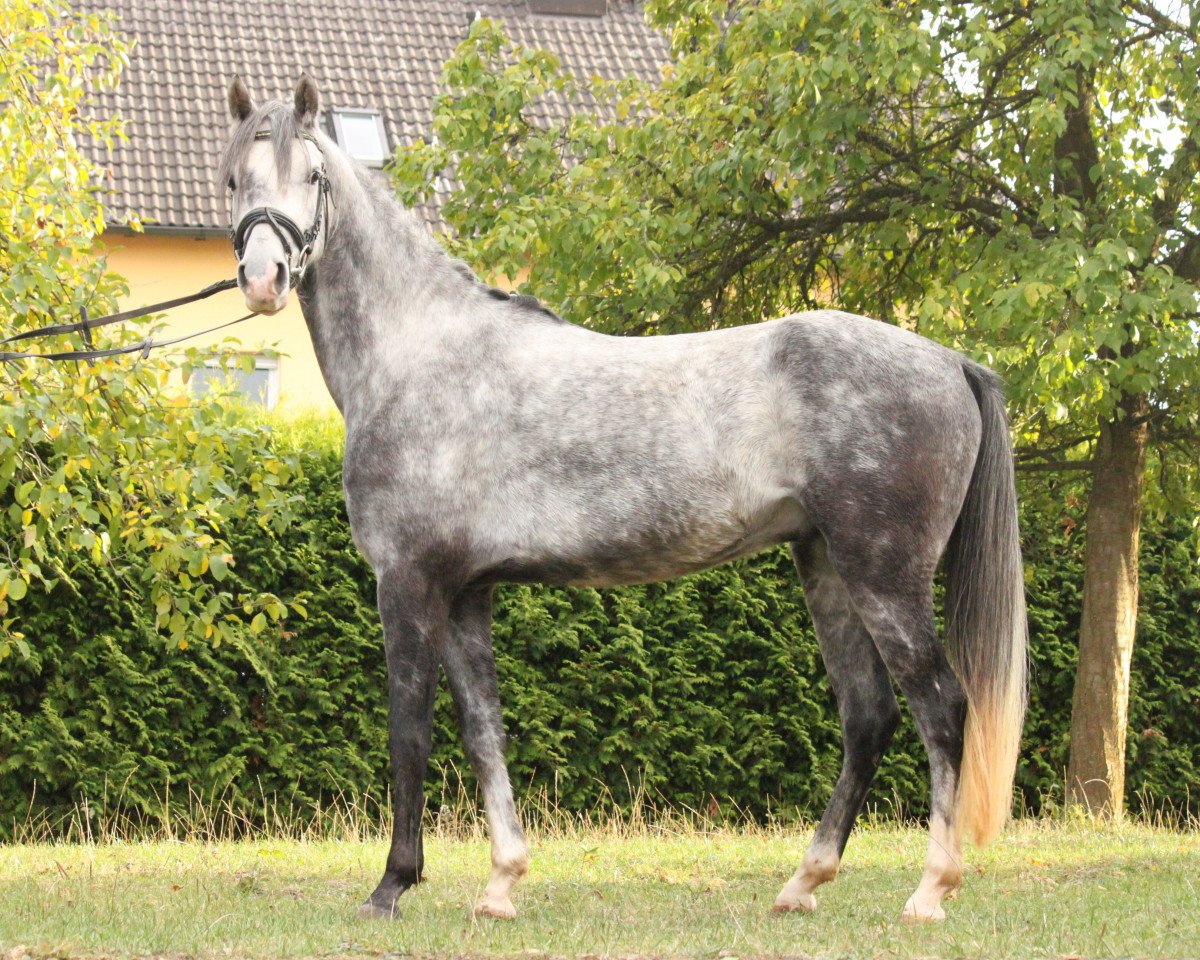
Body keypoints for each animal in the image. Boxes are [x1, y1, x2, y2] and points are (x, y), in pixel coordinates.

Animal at [218, 74, 1027, 924]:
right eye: (234, 178)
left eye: (313, 176)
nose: (264, 280)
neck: (421, 354)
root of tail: (950, 360)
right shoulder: (466, 593)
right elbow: (483, 730)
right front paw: (501, 883)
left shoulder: (407, 583)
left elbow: (410, 733)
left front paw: (391, 886)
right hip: (828, 569)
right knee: (868, 717)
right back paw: (804, 882)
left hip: (886, 578)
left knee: (942, 708)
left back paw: (930, 890)